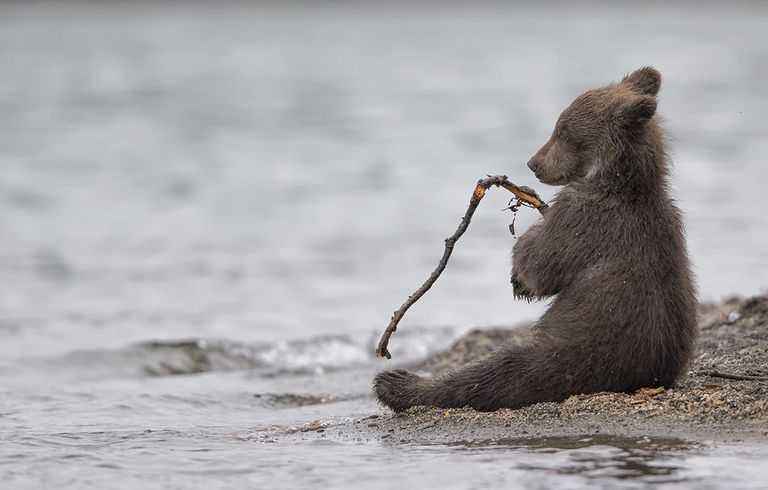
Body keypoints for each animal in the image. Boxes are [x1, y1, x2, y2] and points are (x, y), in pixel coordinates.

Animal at [373, 67, 698, 412]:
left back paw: (397, 383)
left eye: (564, 132)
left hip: (567, 353)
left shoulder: (584, 219)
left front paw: (520, 274)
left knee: (493, 374)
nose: (533, 163)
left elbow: (542, 261)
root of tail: (644, 377)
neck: (621, 182)